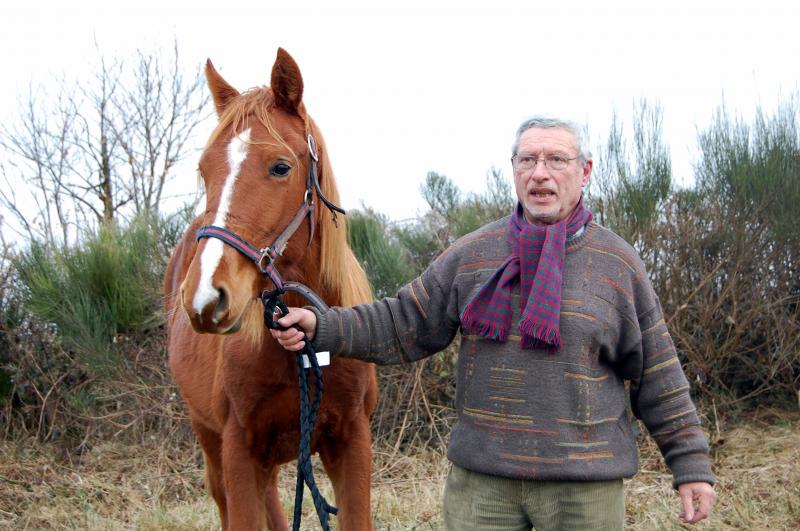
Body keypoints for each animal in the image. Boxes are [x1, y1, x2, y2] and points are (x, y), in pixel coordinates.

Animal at [164, 47, 380, 528]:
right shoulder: (239, 450)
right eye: (204, 171)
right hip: (210, 440)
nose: (204, 298)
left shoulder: (352, 441)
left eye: (280, 167)